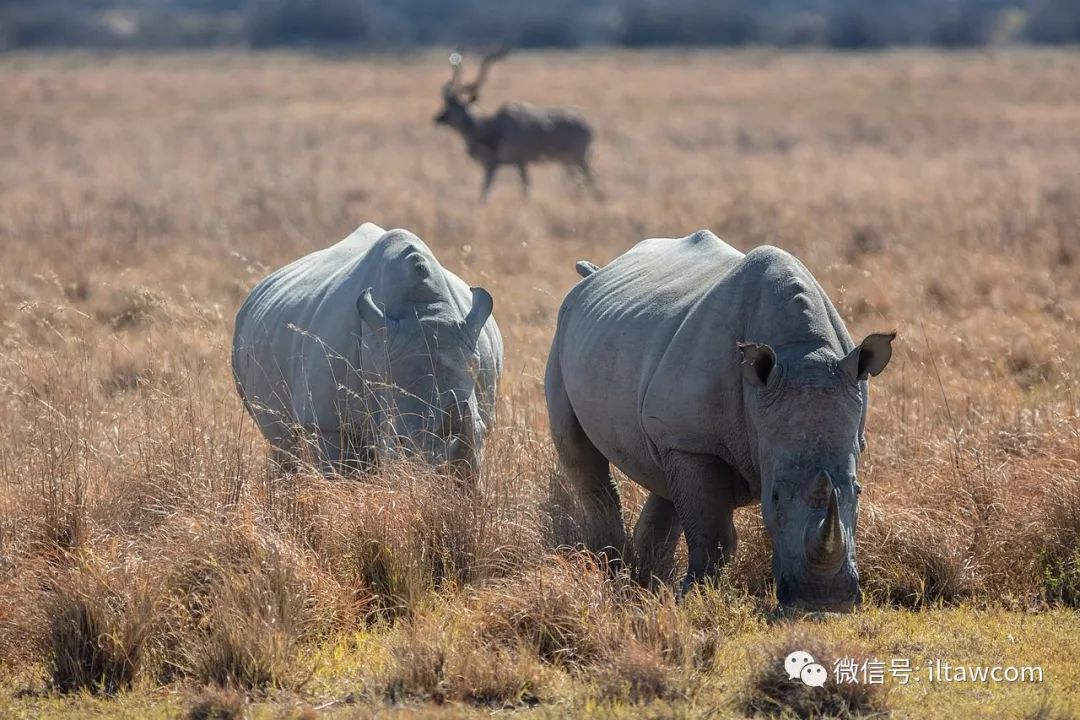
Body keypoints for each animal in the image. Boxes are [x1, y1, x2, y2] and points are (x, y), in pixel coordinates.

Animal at [432, 47, 596, 199]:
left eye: (452, 105)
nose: (437, 119)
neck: (491, 127)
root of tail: (587, 126)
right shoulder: (502, 165)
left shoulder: (513, 163)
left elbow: (508, 190)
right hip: (567, 162)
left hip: (579, 159)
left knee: (590, 178)